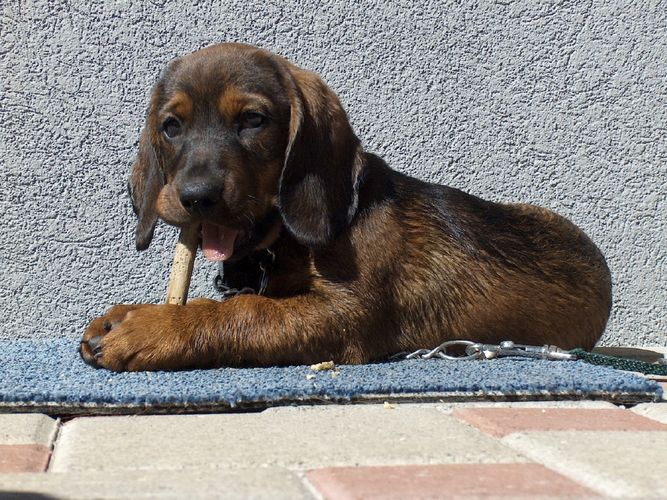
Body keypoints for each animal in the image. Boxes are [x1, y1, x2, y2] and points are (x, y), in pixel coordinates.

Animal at [78, 43, 612, 372]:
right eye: (171, 127)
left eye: (252, 120)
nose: (196, 196)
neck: (285, 242)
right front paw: (125, 314)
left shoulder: (345, 315)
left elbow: (241, 312)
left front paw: (152, 327)